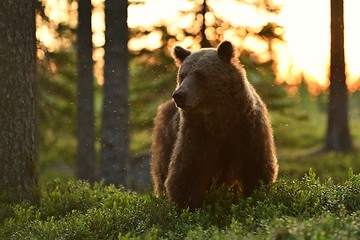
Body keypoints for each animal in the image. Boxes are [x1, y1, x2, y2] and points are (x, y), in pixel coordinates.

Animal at [150, 40, 278, 210]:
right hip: (166, 138)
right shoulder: (197, 134)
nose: (178, 95)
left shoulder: (247, 129)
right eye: (182, 75)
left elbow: (256, 168)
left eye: (200, 74)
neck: (220, 119)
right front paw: (187, 206)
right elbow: (187, 173)